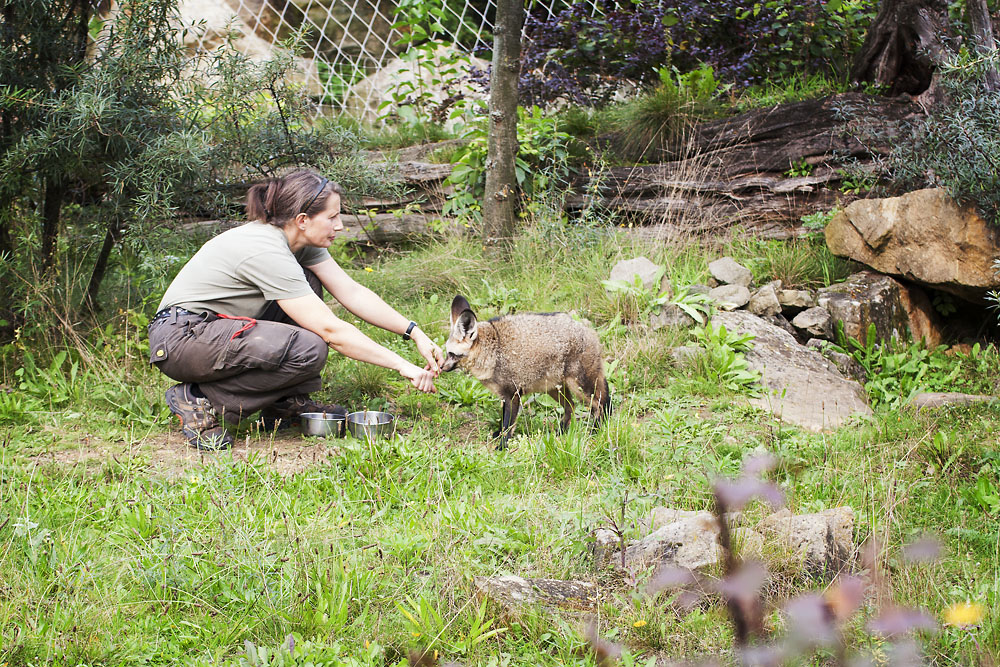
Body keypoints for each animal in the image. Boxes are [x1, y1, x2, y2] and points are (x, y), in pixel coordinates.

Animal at [444, 294, 612, 446]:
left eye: (452, 354)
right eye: (446, 352)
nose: (441, 367)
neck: (493, 351)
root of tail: (588, 330)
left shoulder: (513, 394)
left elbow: (509, 424)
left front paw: (502, 445)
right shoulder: (504, 396)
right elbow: (503, 422)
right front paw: (499, 435)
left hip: (580, 388)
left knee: (600, 405)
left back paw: (596, 430)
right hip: (555, 389)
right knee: (571, 407)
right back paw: (561, 432)